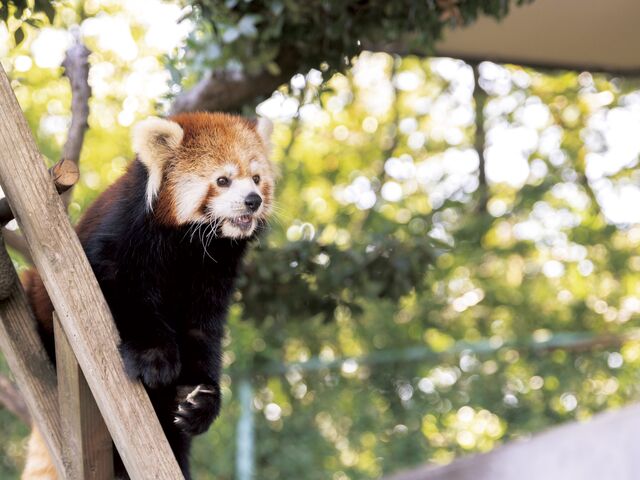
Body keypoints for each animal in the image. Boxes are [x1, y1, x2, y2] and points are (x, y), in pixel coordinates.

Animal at [21, 112, 276, 480]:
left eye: (256, 178)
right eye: (223, 180)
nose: (253, 200)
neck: (188, 245)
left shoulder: (213, 274)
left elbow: (203, 331)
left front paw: (200, 397)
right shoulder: (121, 239)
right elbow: (123, 291)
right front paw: (155, 357)